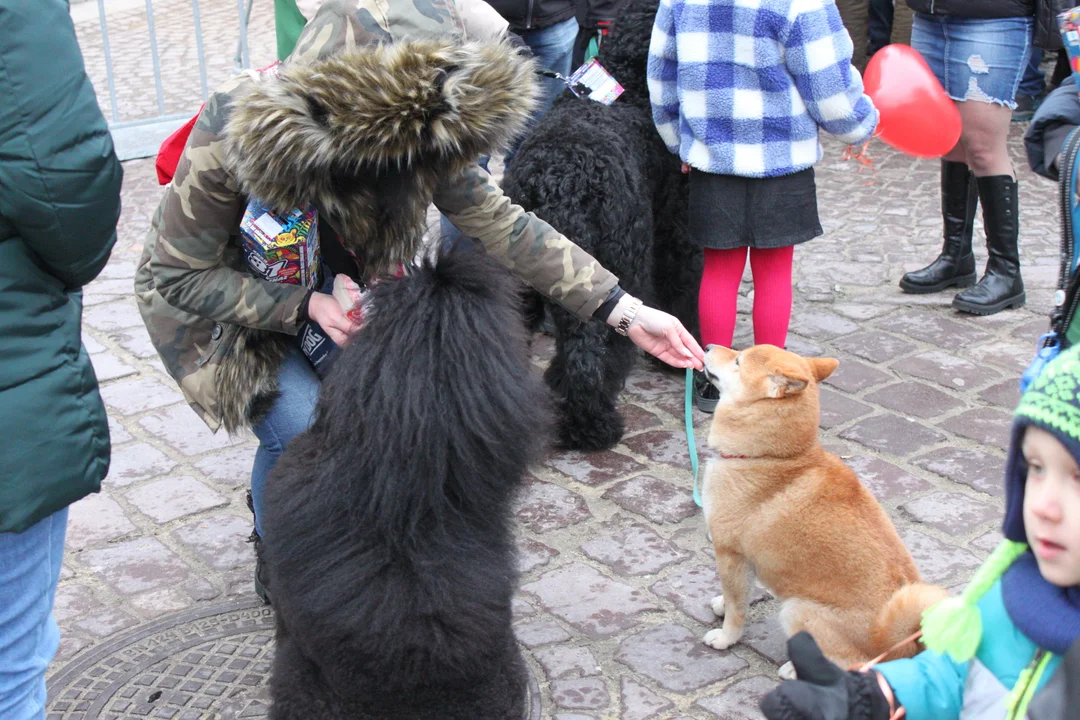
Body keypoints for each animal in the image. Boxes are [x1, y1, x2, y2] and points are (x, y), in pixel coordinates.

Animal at [503, 0, 699, 451]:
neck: (631, 83)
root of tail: (561, 182)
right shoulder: (675, 234)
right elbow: (682, 288)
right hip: (619, 266)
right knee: (594, 347)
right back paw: (591, 423)